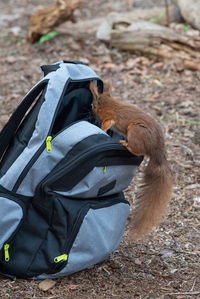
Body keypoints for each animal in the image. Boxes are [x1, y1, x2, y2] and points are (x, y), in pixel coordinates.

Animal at [90, 81, 173, 240]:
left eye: (92, 105)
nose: (89, 109)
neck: (109, 103)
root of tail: (157, 151)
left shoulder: (109, 117)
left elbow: (106, 124)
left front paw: (100, 128)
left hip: (135, 130)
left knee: (138, 151)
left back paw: (126, 144)